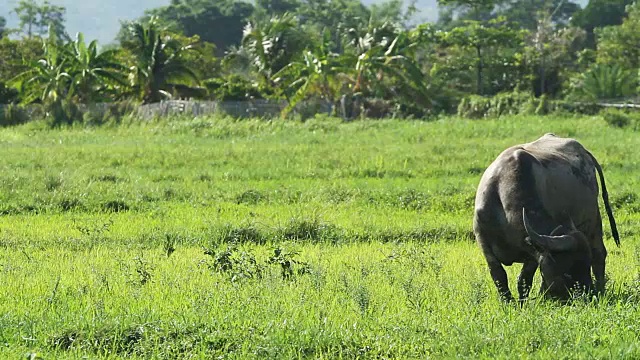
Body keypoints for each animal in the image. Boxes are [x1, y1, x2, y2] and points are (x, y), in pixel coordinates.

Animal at [472, 132, 616, 300]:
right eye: (566, 273)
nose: (587, 294)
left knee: (599, 253)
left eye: (586, 265)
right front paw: (508, 301)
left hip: (593, 218)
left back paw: (601, 288)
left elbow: (524, 280)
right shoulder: (483, 239)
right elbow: (499, 275)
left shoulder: (531, 252)